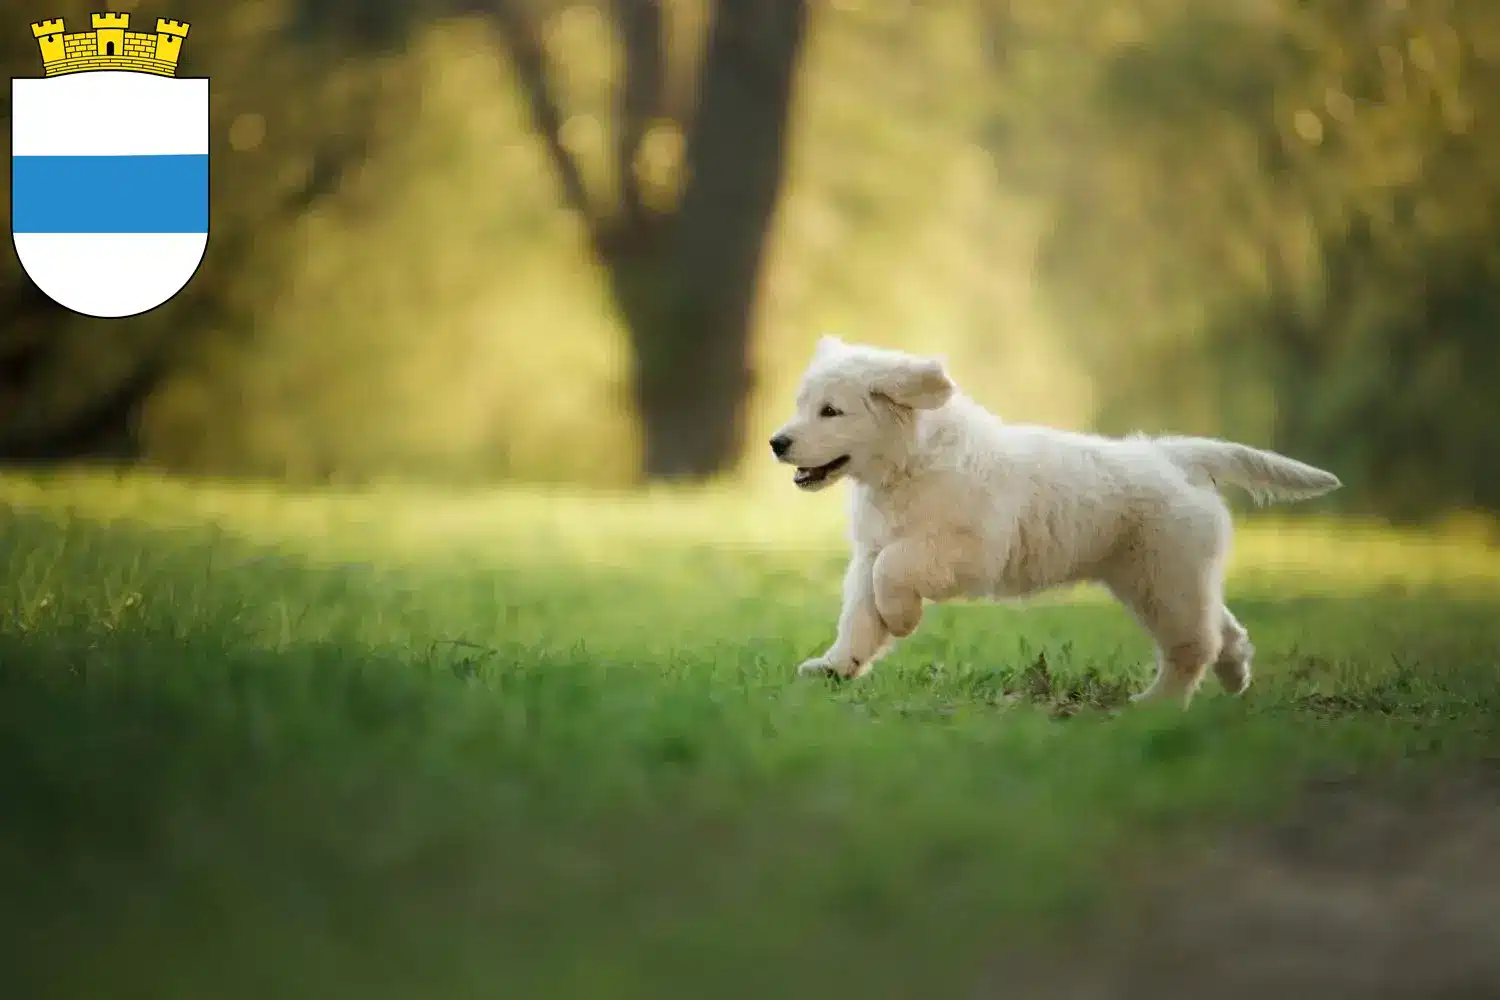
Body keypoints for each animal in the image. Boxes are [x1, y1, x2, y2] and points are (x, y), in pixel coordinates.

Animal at [768, 340, 1344, 707]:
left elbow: (891, 573)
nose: (777, 442)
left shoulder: (963, 548)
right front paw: (836, 667)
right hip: (1167, 575)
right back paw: (1234, 674)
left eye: (830, 411)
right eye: (802, 405)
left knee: (1192, 644)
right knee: (1222, 630)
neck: (907, 464)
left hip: (1163, 577)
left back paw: (1156, 704)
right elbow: (860, 614)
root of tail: (1175, 456)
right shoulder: (870, 550)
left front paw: (902, 619)